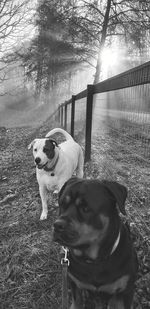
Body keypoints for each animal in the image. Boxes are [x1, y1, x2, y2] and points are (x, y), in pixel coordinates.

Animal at [53, 177, 138, 306]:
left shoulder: (125, 292)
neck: (94, 261)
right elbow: (77, 302)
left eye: (85, 208)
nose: (57, 225)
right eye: (62, 204)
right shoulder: (74, 283)